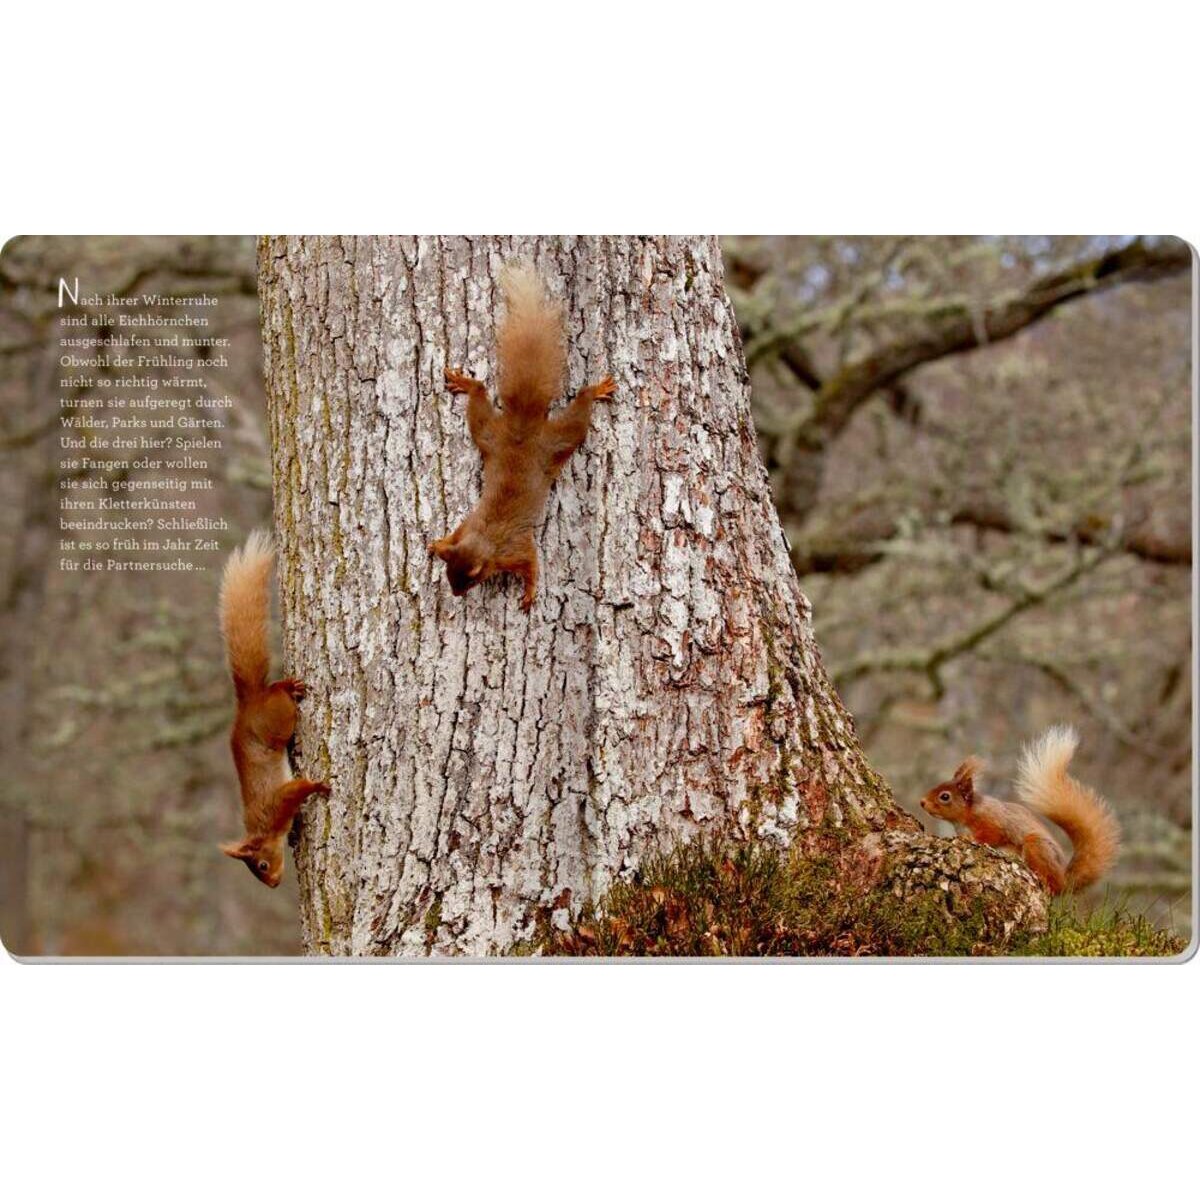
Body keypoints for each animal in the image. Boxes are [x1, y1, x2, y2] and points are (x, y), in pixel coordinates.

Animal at [218, 531, 330, 888]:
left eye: (262, 865)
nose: (274, 883)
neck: (264, 829)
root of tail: (249, 702)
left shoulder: (277, 802)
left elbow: (297, 790)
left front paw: (317, 786)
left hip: (278, 720)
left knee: (279, 697)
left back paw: (288, 686)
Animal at [430, 264, 615, 611]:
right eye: (450, 576)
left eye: (469, 580)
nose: (456, 593)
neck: (486, 540)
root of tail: (523, 427)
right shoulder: (469, 524)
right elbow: (456, 533)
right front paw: (440, 543)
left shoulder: (514, 549)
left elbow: (530, 564)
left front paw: (529, 591)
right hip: (489, 435)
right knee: (480, 393)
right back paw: (465, 383)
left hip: (555, 439)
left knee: (579, 412)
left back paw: (596, 390)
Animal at [921, 725, 1120, 894]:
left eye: (945, 796)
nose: (922, 802)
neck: (966, 816)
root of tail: (1065, 881)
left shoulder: (992, 821)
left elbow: (991, 835)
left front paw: (970, 839)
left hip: (1036, 846)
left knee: (1051, 884)